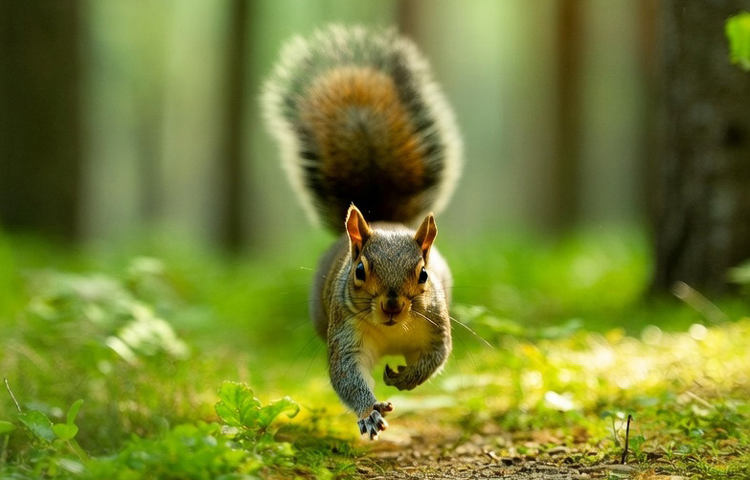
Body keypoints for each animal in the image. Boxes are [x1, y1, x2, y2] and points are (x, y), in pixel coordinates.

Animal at [262, 25, 463, 440]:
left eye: (423, 274)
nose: (392, 306)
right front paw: (370, 411)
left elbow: (435, 358)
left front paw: (405, 378)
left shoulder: (436, 325)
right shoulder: (346, 335)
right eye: (359, 271)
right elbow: (348, 377)